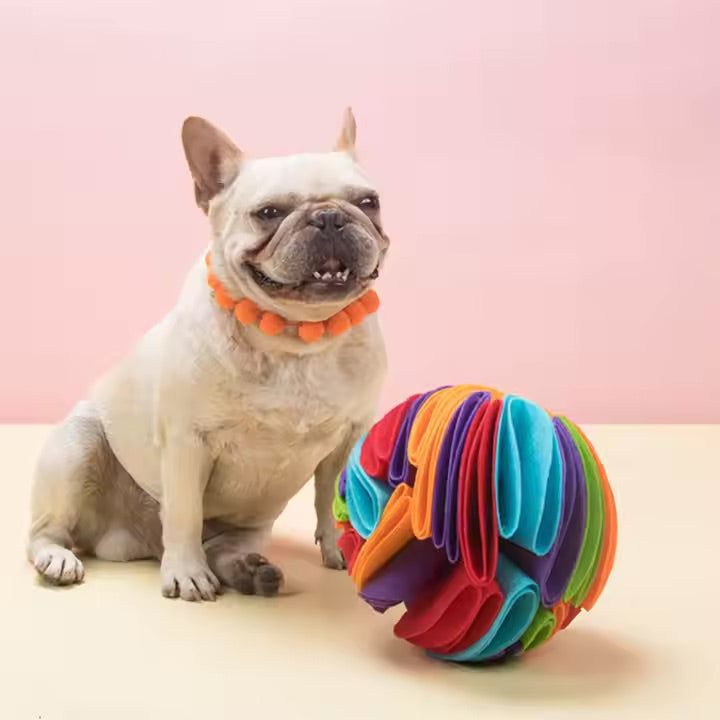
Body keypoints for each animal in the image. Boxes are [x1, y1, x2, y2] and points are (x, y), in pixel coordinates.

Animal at [26, 109, 388, 600]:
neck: (297, 338)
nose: (329, 217)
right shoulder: (187, 442)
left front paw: (339, 549)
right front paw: (185, 573)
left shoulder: (350, 438)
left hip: (254, 521)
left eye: (369, 202)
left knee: (223, 546)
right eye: (269, 213)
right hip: (76, 450)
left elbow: (331, 502)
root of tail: (133, 543)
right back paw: (59, 558)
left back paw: (249, 570)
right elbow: (184, 514)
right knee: (47, 531)